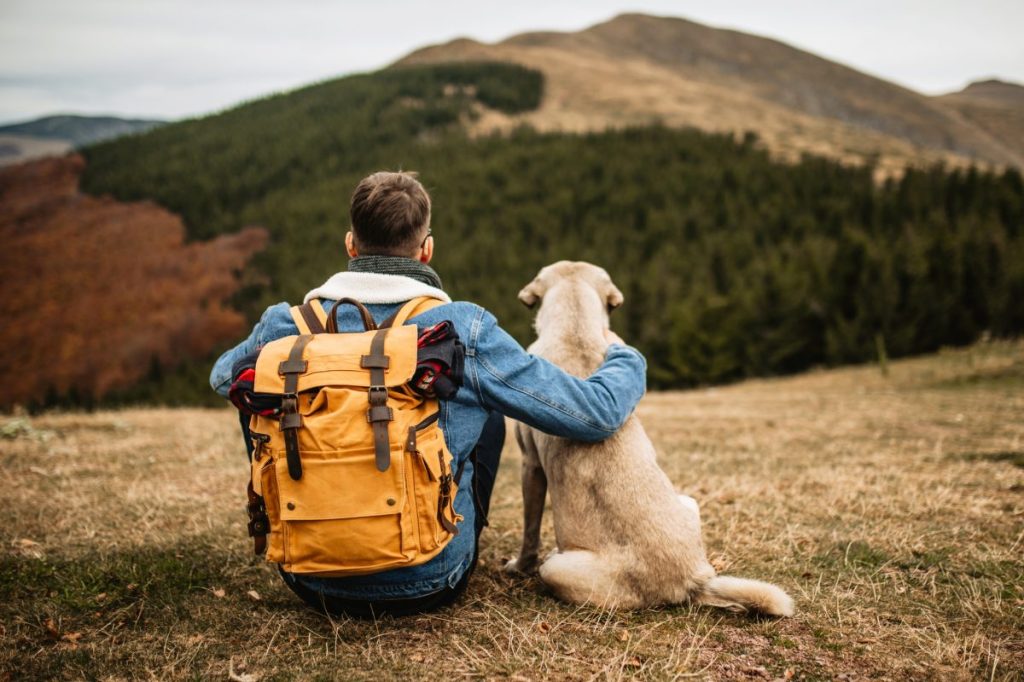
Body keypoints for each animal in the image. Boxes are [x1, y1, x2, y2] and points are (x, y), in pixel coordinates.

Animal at [501, 258, 790, 614]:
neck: (576, 328)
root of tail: (693, 580)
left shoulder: (530, 464)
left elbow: (529, 529)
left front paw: (518, 566)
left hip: (557, 569)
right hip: (689, 501)